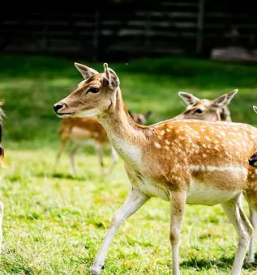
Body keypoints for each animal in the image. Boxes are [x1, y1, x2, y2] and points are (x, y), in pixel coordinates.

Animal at [52, 62, 257, 275]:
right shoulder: (140, 189)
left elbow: (174, 234)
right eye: (79, 84)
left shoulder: (179, 185)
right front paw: (96, 267)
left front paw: (176, 272)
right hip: (230, 197)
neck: (145, 152)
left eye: (93, 88)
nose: (57, 106)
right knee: (245, 230)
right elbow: (116, 217)